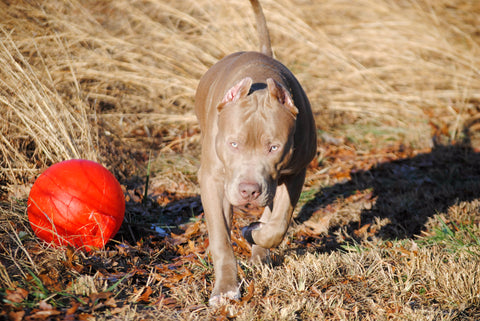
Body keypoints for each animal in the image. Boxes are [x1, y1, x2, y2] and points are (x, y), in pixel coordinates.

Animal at [193, 0, 316, 304]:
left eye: (274, 147)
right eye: (233, 143)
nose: (249, 190)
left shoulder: (294, 172)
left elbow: (278, 222)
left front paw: (254, 234)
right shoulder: (212, 179)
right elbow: (221, 238)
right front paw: (226, 287)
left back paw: (259, 250)